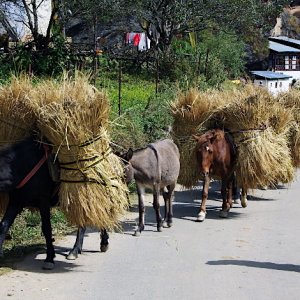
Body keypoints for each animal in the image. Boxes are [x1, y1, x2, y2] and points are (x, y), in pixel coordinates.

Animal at [0, 136, 109, 270]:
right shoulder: (16, 202)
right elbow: (3, 226)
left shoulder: (43, 201)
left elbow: (47, 228)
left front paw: (49, 258)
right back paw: (78, 249)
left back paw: (95, 245)